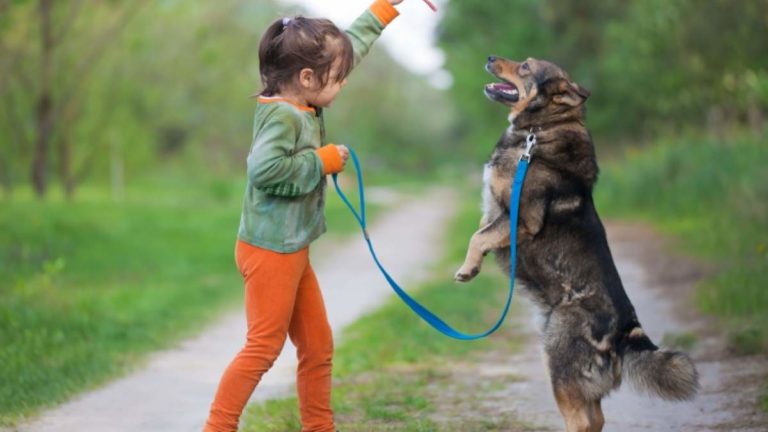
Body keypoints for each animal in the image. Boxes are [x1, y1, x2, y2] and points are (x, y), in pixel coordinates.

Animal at [456, 57, 704, 432]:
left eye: (525, 67)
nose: (489, 58)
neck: (540, 130)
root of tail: (626, 331)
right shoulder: (498, 213)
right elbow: (482, 230)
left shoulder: (522, 217)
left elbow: (478, 236)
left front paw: (468, 268)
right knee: (597, 418)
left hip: (558, 364)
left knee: (582, 421)